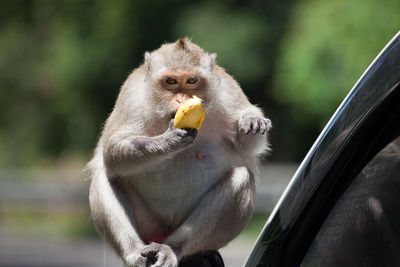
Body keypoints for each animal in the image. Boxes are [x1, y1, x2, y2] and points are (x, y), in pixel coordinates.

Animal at [86, 38, 270, 267]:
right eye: (171, 81)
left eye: (191, 80)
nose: (182, 99)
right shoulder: (131, 95)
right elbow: (112, 151)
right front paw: (167, 141)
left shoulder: (227, 89)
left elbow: (249, 147)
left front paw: (251, 119)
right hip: (147, 225)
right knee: (105, 175)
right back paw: (135, 253)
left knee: (240, 178)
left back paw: (172, 248)